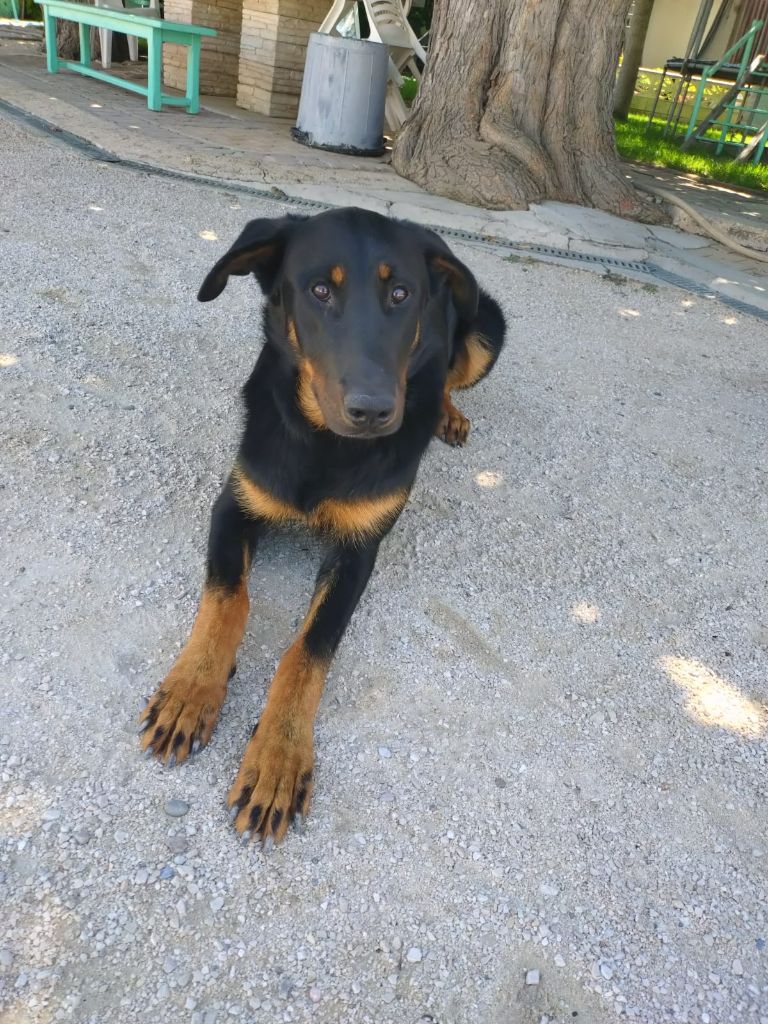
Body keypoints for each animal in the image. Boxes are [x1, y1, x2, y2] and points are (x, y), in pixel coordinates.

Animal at [139, 207, 506, 846]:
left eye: (400, 293)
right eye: (319, 290)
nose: (374, 411)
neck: (325, 444)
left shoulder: (359, 551)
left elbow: (309, 649)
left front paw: (277, 758)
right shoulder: (235, 505)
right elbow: (227, 600)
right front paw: (192, 689)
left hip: (487, 326)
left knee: (451, 376)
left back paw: (448, 413)